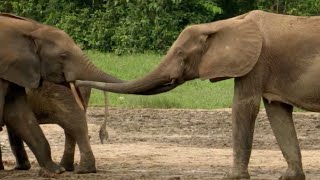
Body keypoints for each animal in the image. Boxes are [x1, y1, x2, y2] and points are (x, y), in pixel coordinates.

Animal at [0, 13, 122, 174]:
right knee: (71, 127)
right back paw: (68, 167)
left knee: (74, 123)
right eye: (63, 56)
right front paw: (20, 168)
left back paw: (82, 170)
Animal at [74, 10, 320, 180]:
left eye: (181, 54)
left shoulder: (256, 62)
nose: (74, 82)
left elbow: (244, 107)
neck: (226, 24)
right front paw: (290, 177)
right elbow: (278, 113)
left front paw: (232, 177)